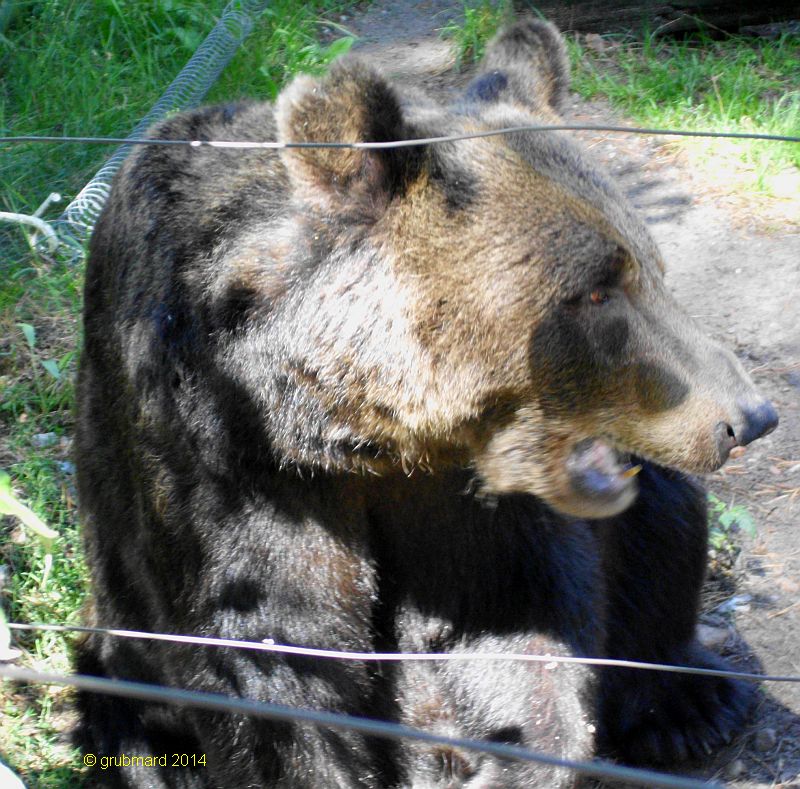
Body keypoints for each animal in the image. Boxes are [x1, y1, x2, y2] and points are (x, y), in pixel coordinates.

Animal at [75, 16, 776, 788]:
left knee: (665, 524)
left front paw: (520, 753)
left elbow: (512, 615)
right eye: (596, 290)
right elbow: (273, 654)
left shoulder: (460, 495)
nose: (749, 418)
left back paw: (689, 703)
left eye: (652, 267)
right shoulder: (224, 462)